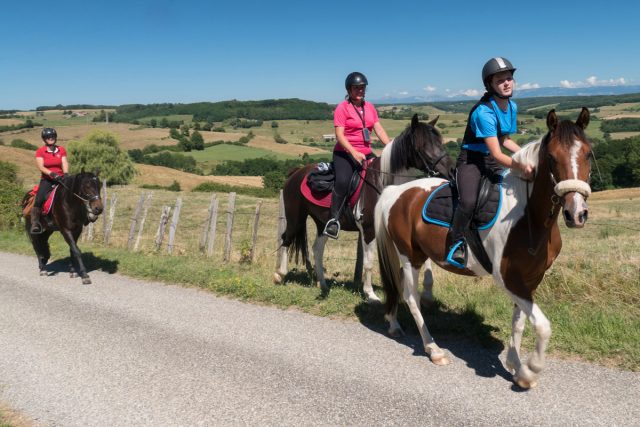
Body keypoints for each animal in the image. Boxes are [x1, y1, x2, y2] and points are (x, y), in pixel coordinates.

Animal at [276, 114, 456, 300]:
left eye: (440, 142)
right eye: (423, 145)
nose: (451, 170)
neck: (383, 183)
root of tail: (296, 173)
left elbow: (424, 261)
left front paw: (426, 292)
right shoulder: (369, 230)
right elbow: (369, 263)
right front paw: (370, 294)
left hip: (322, 223)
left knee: (317, 249)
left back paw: (323, 285)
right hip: (295, 217)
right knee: (286, 238)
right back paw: (280, 275)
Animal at [376, 108, 592, 390]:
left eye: (588, 153)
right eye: (552, 158)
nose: (576, 213)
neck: (528, 216)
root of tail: (396, 191)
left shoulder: (530, 278)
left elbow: (519, 322)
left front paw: (515, 363)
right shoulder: (508, 278)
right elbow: (543, 326)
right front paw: (530, 370)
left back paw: (394, 324)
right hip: (409, 256)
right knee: (411, 298)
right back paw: (433, 349)